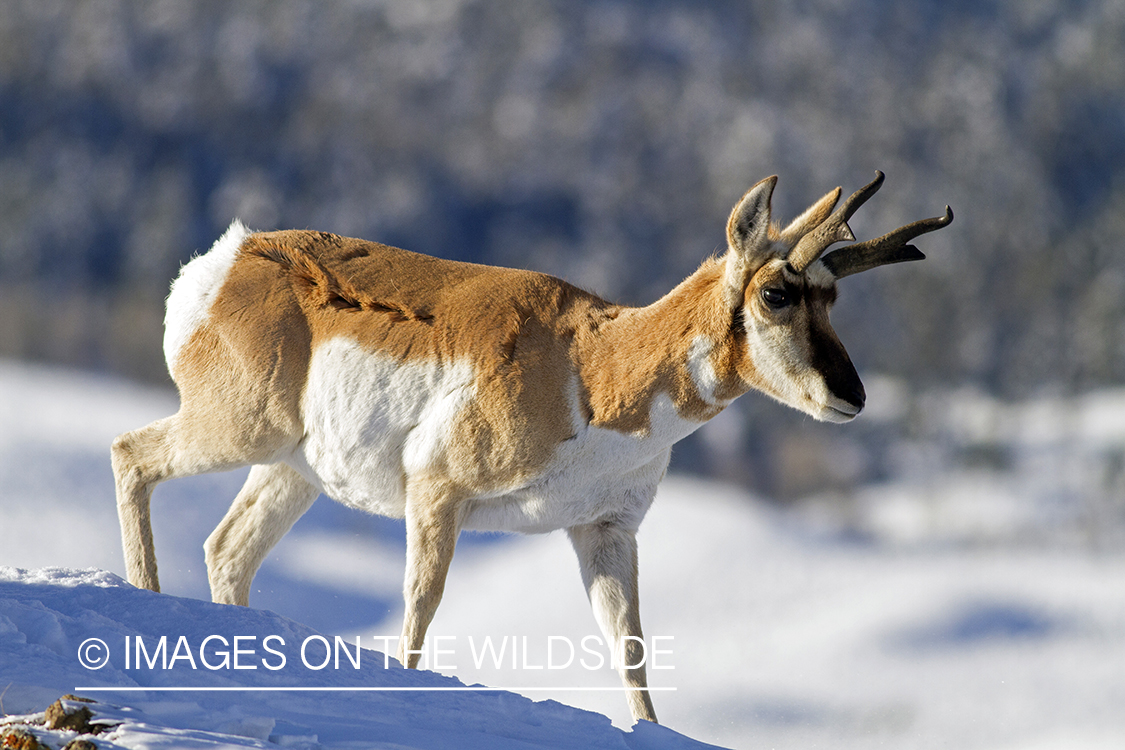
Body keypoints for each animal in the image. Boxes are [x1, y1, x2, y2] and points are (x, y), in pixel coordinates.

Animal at [114, 173, 949, 724]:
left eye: (832, 298)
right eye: (776, 294)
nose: (853, 397)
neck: (591, 364)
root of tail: (231, 256)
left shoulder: (606, 532)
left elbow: (629, 648)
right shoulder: (437, 494)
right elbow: (419, 611)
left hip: (293, 470)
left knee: (226, 550)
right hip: (240, 429)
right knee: (130, 453)